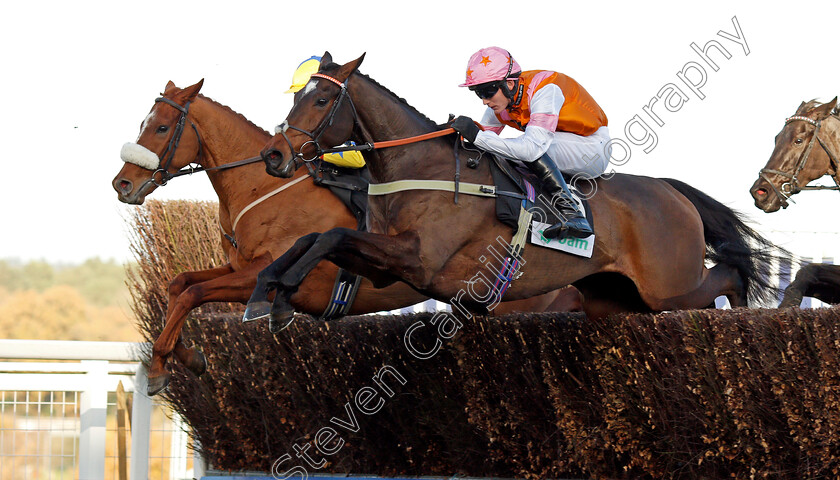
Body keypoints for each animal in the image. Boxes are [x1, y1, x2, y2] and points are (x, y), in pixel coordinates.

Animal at [113, 79, 584, 394]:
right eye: (142, 123)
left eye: (160, 128)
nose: (122, 184)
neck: (263, 187)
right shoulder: (238, 266)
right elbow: (179, 285)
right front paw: (187, 356)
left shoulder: (264, 276)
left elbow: (193, 295)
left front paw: (160, 369)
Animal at [254, 51, 780, 322]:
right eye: (299, 94)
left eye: (321, 99)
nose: (274, 155)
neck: (418, 163)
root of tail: (673, 191)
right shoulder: (388, 265)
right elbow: (316, 238)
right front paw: (268, 290)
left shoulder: (418, 258)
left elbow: (331, 235)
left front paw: (279, 291)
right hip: (617, 299)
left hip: (669, 288)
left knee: (728, 277)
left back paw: (745, 314)